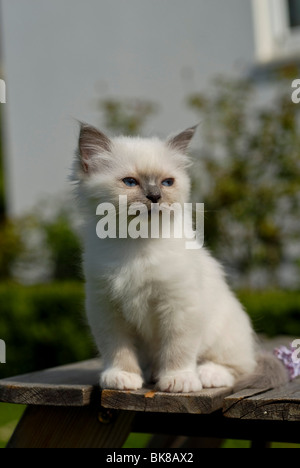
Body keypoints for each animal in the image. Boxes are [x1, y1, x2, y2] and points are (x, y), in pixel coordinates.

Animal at [71, 123, 290, 392]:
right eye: (130, 182)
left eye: (167, 182)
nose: (155, 197)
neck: (137, 245)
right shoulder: (105, 306)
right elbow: (117, 349)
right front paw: (122, 377)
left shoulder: (180, 304)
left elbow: (178, 349)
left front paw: (178, 380)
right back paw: (151, 373)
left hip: (226, 333)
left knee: (237, 367)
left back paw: (206, 375)